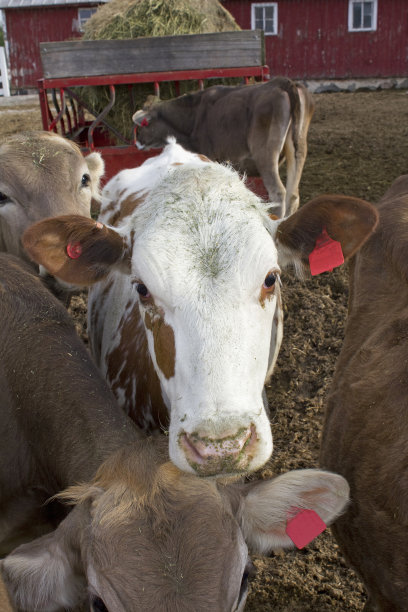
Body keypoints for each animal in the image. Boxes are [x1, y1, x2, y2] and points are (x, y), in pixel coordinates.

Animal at [132, 77, 314, 218]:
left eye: (142, 125)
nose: (137, 141)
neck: (193, 117)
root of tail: (282, 82)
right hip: (298, 149)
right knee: (293, 195)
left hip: (265, 154)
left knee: (278, 193)